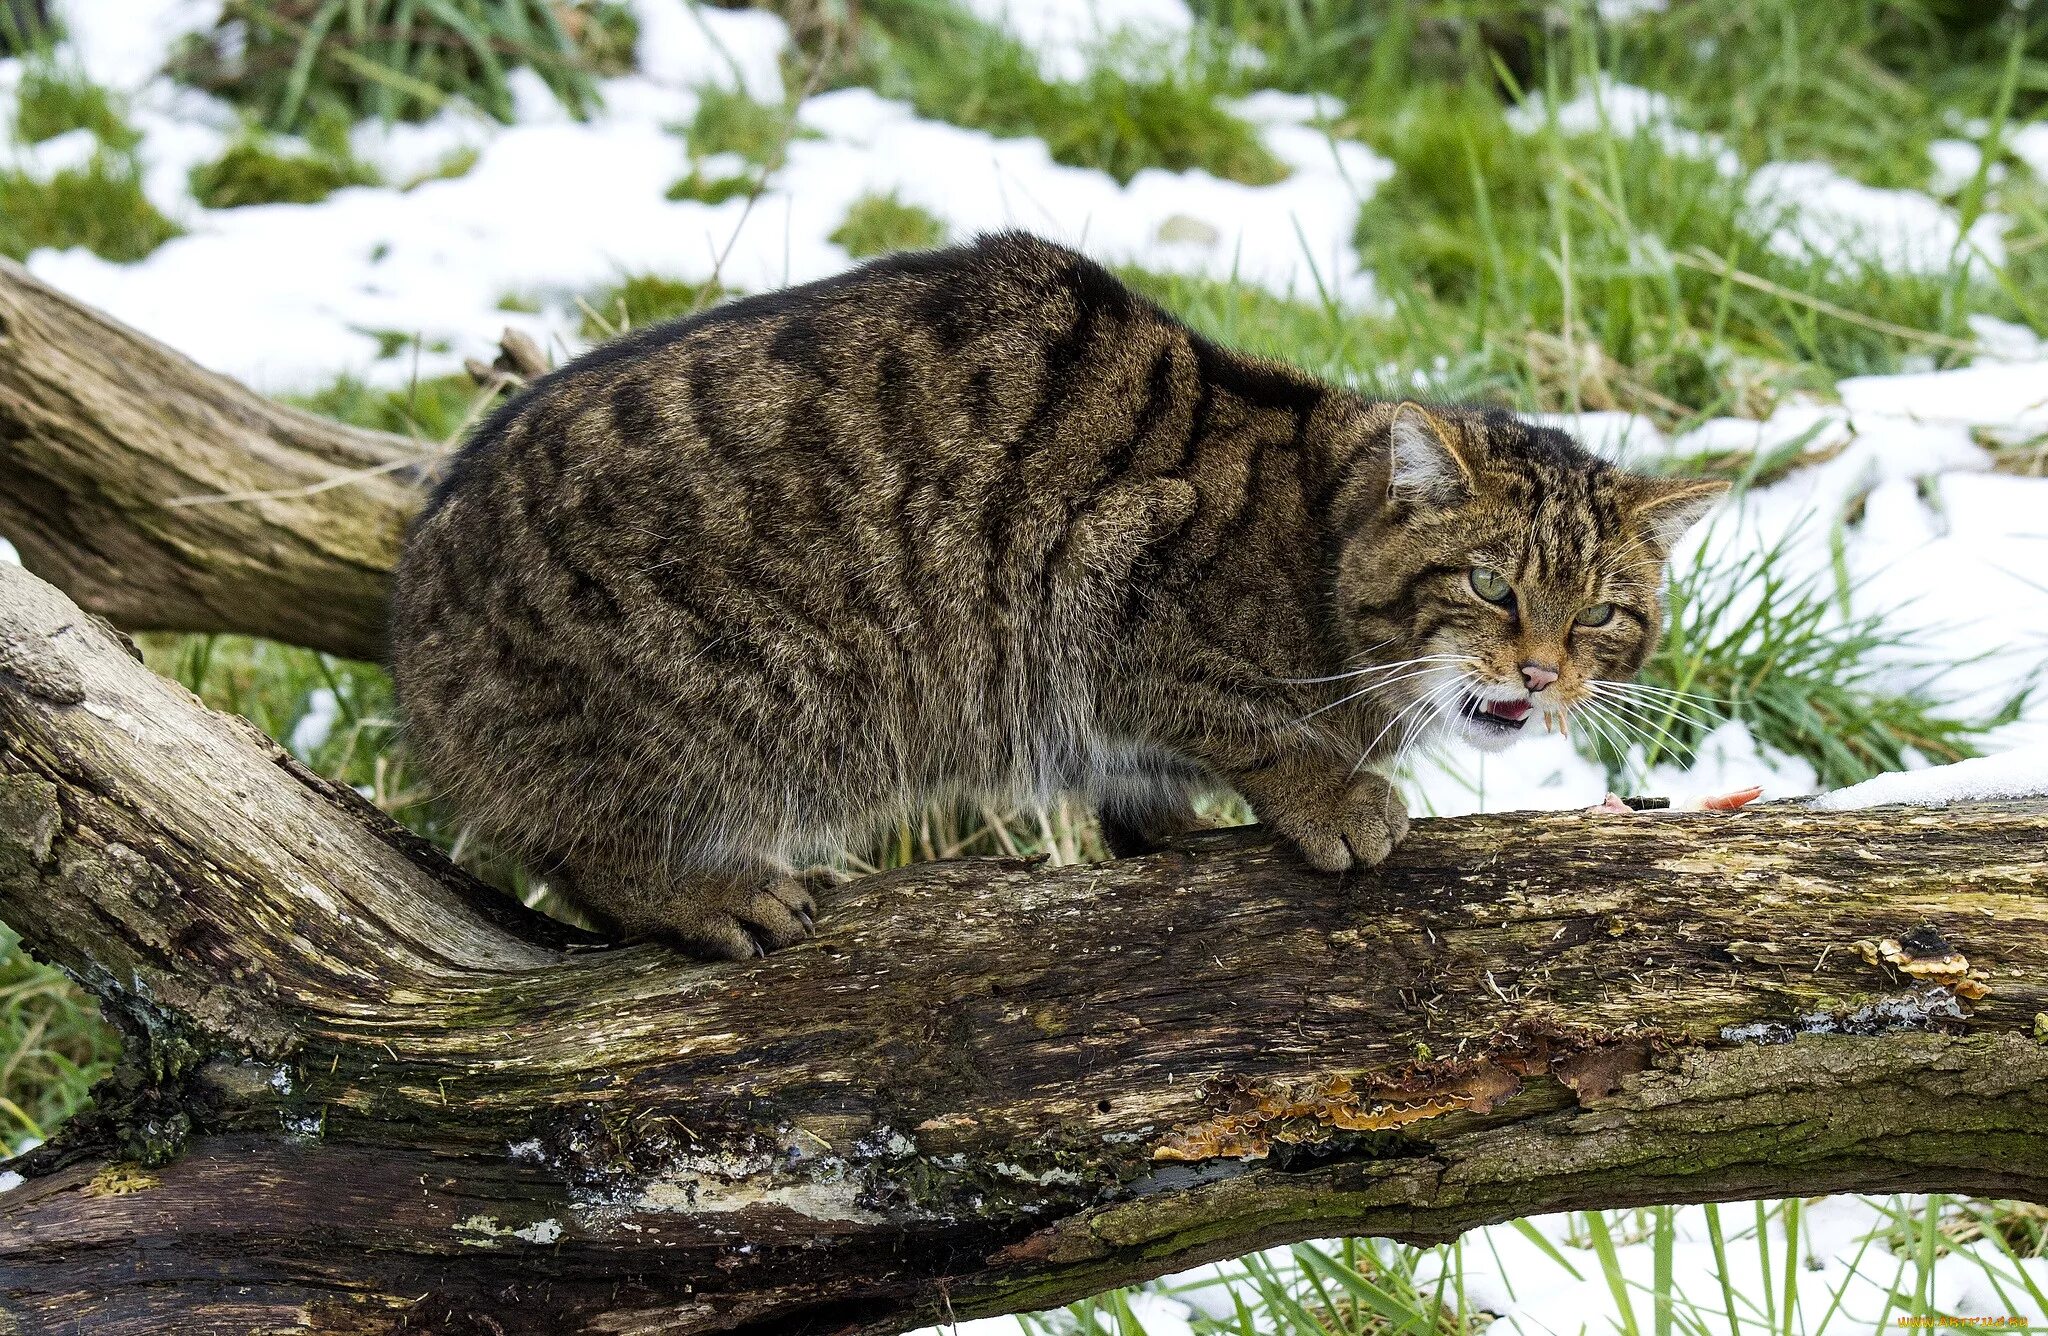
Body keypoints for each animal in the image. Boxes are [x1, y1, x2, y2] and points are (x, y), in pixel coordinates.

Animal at [387, 232, 1728, 958]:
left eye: (1598, 613)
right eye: (1490, 584)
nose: (1540, 675)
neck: (1311, 536)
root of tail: (418, 596)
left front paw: (1173, 828)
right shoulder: (1107, 599)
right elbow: (1249, 723)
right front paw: (1330, 792)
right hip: (741, 696)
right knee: (578, 840)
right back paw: (705, 893)